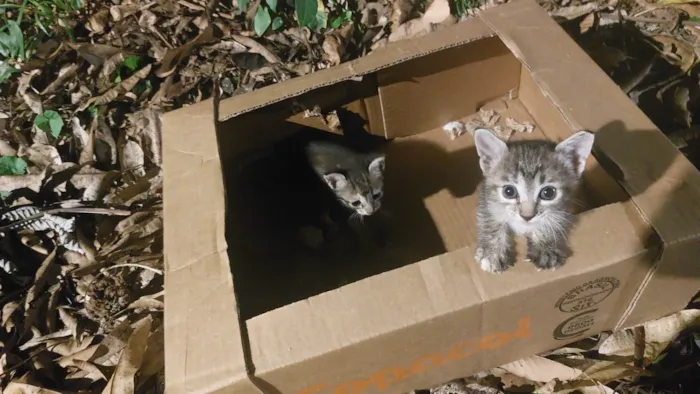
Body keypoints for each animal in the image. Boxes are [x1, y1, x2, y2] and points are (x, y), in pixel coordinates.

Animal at [474, 127, 592, 272]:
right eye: (509, 191)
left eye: (548, 193)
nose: (527, 216)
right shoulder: (486, 200)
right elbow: (490, 221)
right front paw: (493, 253)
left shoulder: (563, 209)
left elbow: (553, 222)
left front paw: (545, 249)